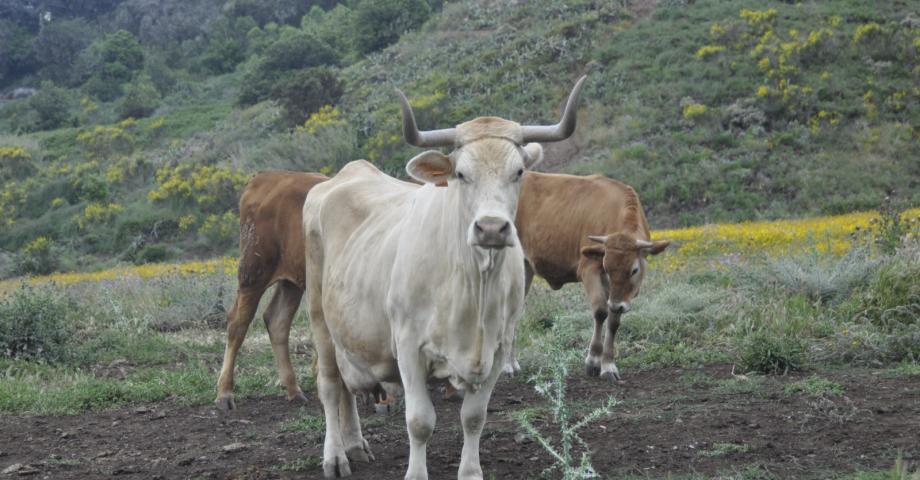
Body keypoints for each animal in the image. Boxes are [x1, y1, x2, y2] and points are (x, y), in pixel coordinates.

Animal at [214, 171, 328, 410]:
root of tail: (266, 176)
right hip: (253, 272)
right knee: (238, 323)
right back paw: (224, 393)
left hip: (292, 280)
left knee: (277, 320)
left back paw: (294, 390)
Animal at [306, 77, 584, 478]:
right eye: (462, 174)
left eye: (518, 172)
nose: (491, 228)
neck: (473, 286)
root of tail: (346, 175)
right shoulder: (408, 345)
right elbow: (419, 421)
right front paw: (416, 473)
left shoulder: (498, 349)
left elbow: (474, 417)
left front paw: (470, 471)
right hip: (319, 317)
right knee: (329, 385)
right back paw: (335, 456)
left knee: (346, 388)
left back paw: (356, 445)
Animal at [516, 171, 668, 380]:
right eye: (606, 266)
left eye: (634, 270)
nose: (617, 305)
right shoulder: (589, 269)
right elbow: (601, 311)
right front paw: (593, 360)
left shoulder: (617, 294)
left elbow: (613, 320)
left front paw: (608, 364)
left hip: (525, 268)